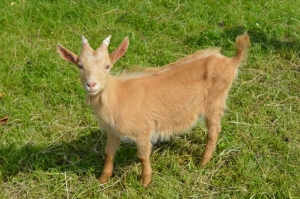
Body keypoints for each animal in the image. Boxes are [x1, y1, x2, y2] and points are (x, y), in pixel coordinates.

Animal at [57, 32, 250, 187]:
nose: (91, 85)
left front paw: (145, 182)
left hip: (214, 101)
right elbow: (109, 153)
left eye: (107, 66)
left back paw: (203, 162)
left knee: (214, 130)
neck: (117, 96)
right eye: (80, 65)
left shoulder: (143, 130)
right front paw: (102, 179)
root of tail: (230, 60)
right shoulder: (113, 132)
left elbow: (143, 157)